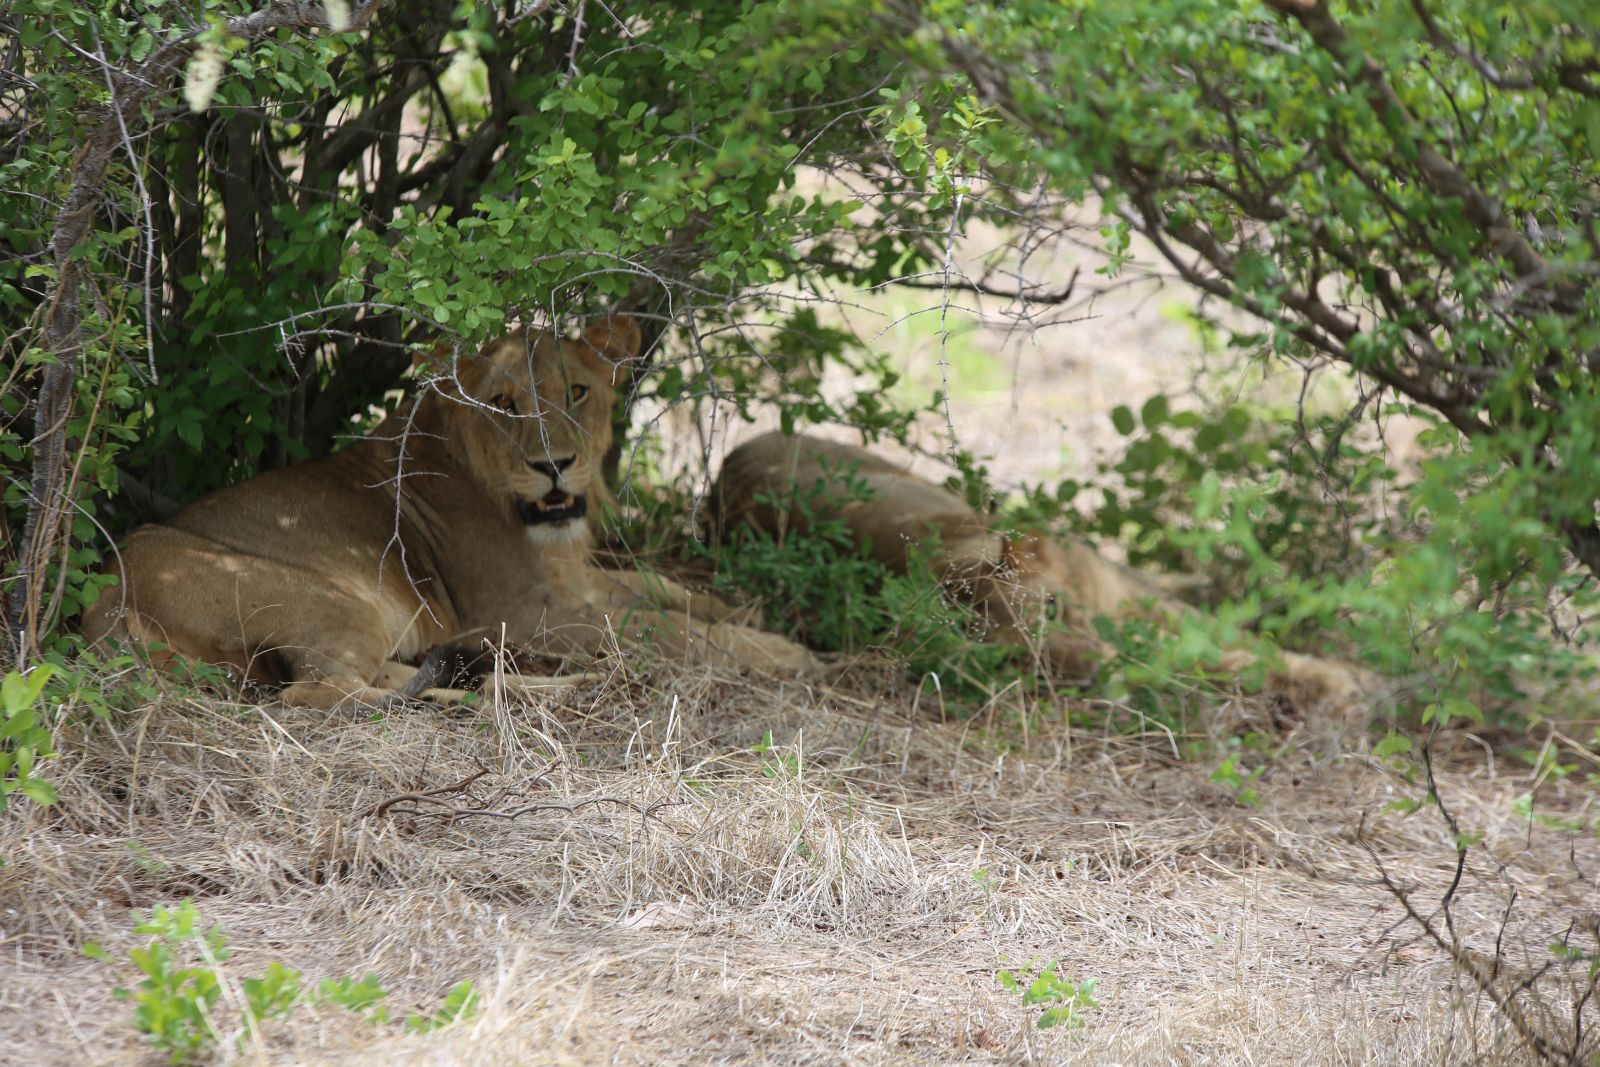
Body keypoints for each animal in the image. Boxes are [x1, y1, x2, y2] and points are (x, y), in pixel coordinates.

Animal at [84, 317, 813, 708]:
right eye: (506, 404)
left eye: (577, 392)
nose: (555, 465)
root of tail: (104, 601)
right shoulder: (526, 610)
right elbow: (668, 629)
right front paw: (785, 652)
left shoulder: (576, 579)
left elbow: (662, 589)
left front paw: (744, 610)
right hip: (329, 599)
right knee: (326, 693)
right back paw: (541, 686)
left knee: (378, 676)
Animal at [710, 432, 1369, 713]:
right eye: (1018, 657)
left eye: (1050, 608)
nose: (1097, 665)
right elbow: (1215, 662)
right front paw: (1338, 684)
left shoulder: (1125, 594)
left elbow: (1222, 637)